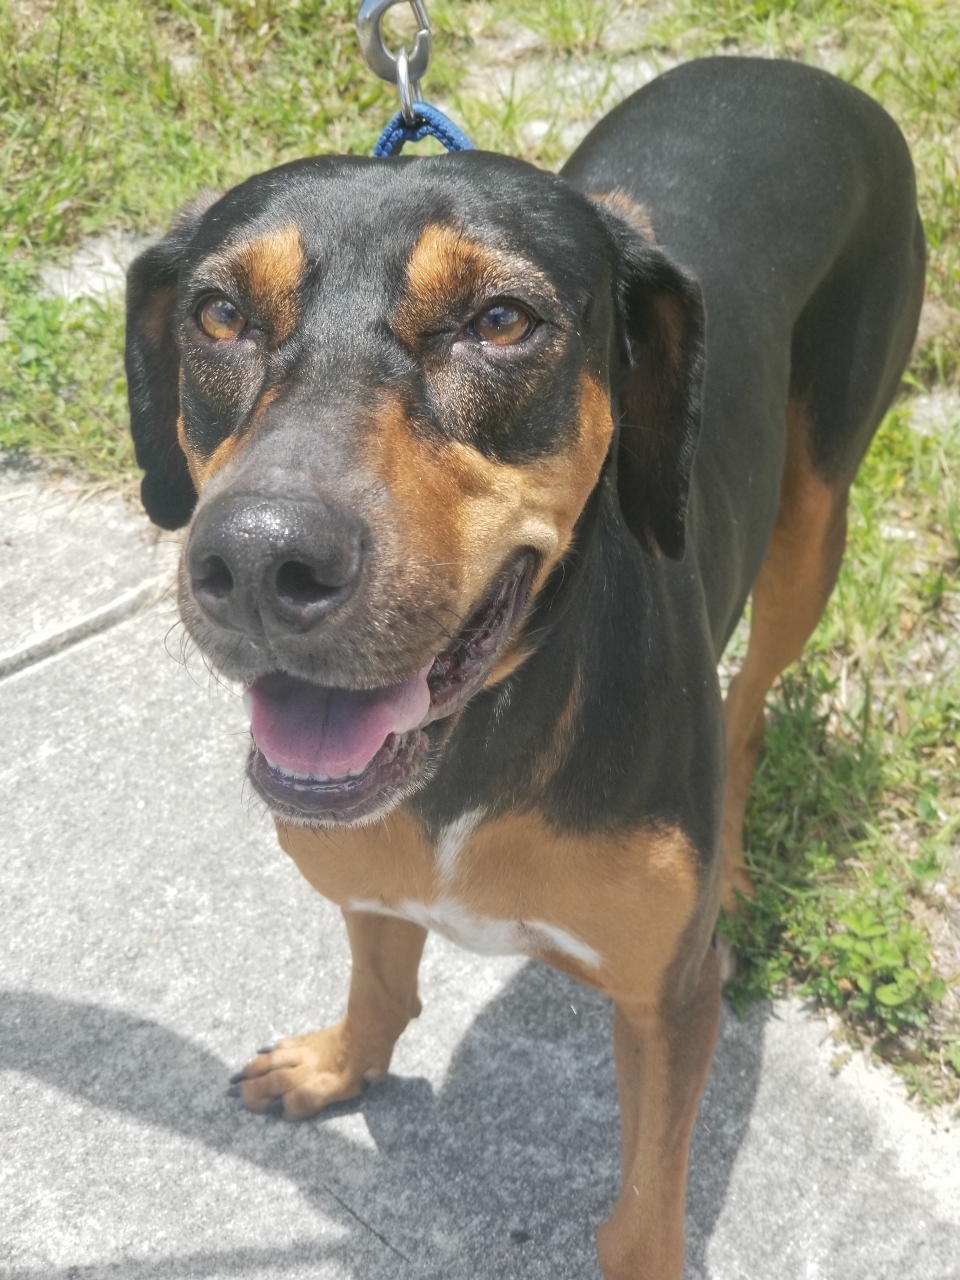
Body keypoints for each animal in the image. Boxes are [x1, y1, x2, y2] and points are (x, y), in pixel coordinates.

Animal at [126, 60, 926, 1280]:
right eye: (219, 315)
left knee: (752, 699)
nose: (258, 560)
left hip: (816, 520)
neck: (481, 731)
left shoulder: (668, 996)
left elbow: (644, 1207)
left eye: (501, 322)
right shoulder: (367, 869)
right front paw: (339, 1064)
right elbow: (381, 979)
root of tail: (791, 68)